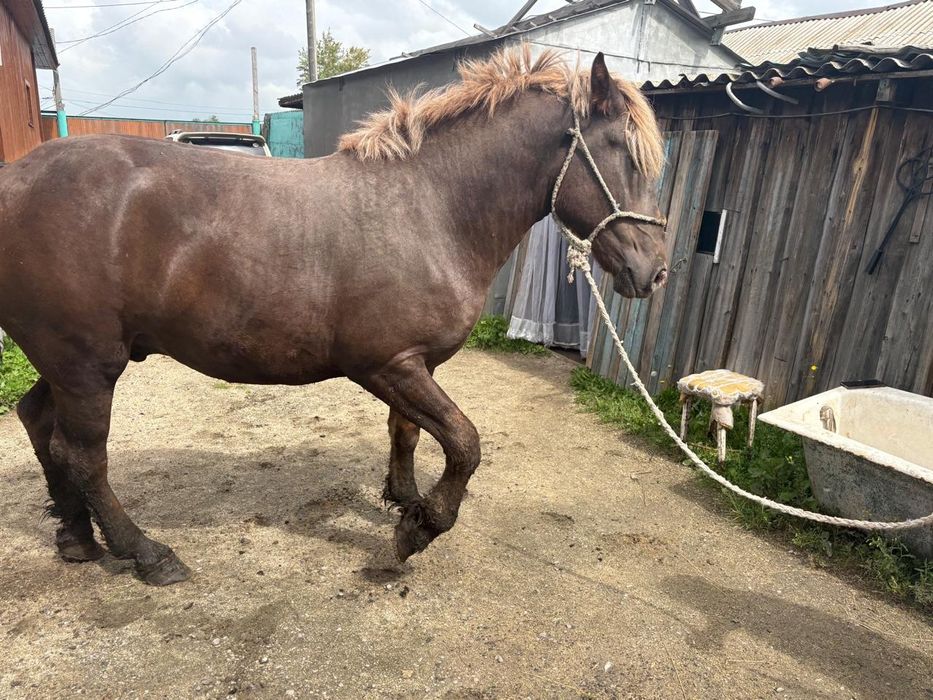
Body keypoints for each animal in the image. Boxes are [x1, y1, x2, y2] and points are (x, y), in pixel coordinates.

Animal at [0, 48, 667, 586]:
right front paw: (419, 530)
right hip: (88, 365)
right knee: (83, 455)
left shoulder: (414, 365)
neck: (430, 207)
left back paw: (78, 536)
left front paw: (404, 500)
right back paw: (146, 553)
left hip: (67, 362)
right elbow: (464, 443)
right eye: (623, 154)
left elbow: (407, 433)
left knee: (39, 424)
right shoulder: (387, 365)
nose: (655, 270)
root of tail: (16, 180)